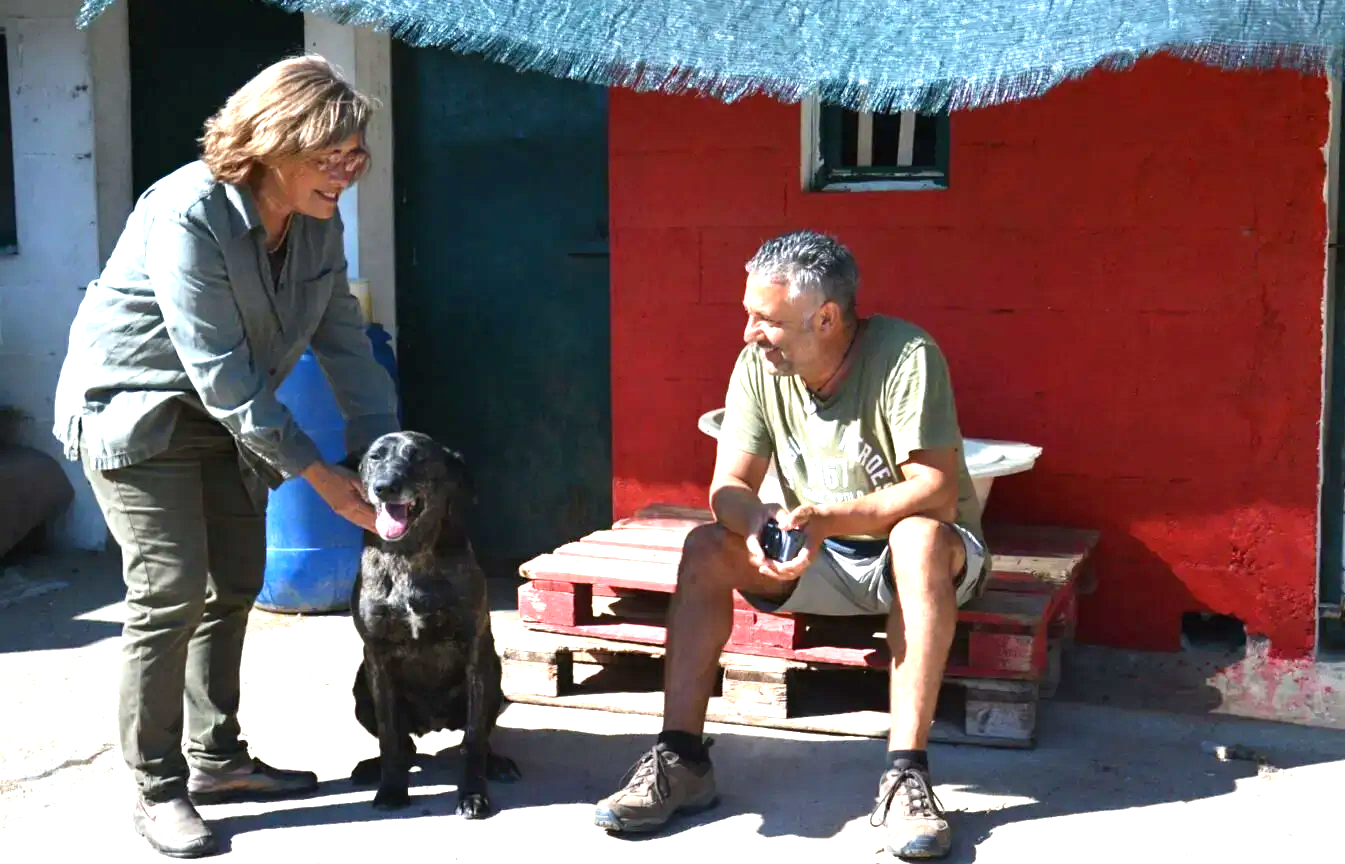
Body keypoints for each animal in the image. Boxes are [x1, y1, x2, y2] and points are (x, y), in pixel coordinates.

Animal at [344, 430, 520, 818]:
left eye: (418, 458)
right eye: (375, 457)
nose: (385, 487)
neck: (409, 554)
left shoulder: (476, 654)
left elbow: (473, 740)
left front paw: (473, 794)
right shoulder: (377, 659)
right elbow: (389, 738)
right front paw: (392, 789)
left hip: (495, 679)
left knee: (478, 737)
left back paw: (496, 763)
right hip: (361, 691)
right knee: (405, 746)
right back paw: (373, 767)